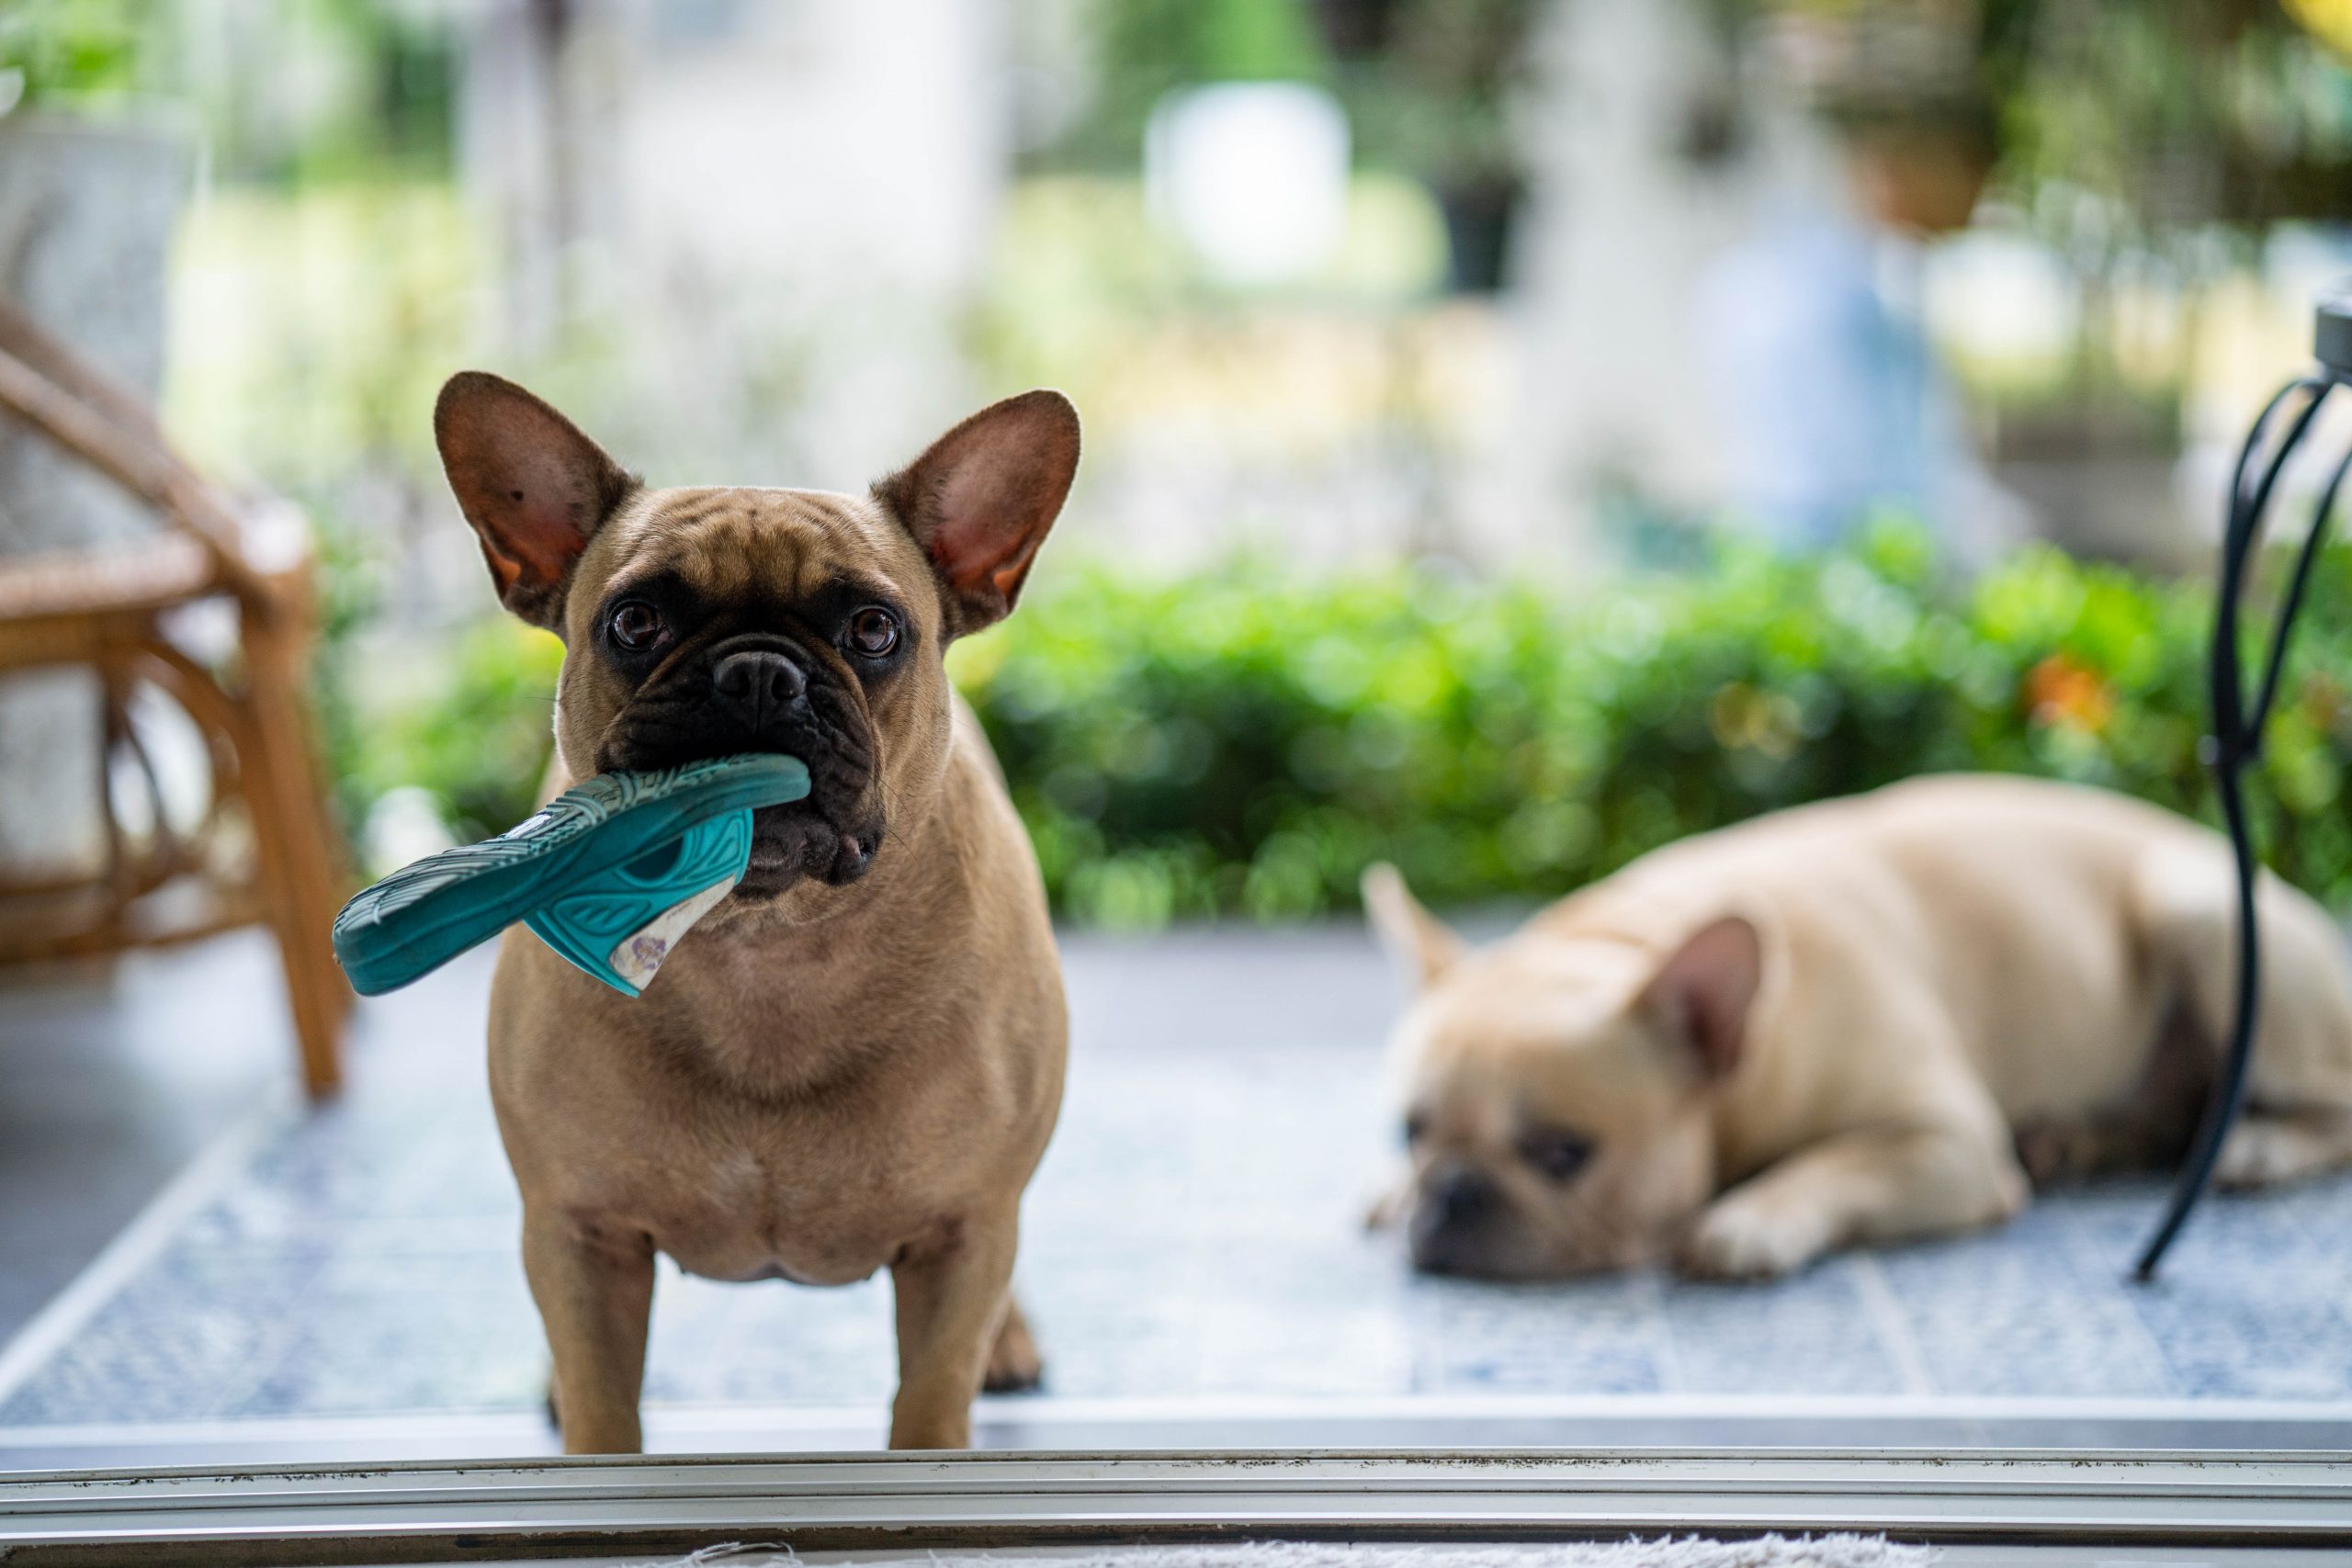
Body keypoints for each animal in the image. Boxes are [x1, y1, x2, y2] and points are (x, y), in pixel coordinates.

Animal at [433, 373, 1077, 1457]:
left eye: (874, 629)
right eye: (635, 621)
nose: (760, 673)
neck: (765, 947)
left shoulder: (965, 1235)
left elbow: (929, 1400)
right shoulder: (579, 1234)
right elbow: (603, 1407)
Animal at [1374, 771, 2352, 1279]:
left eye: (1561, 1153)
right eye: (1408, 1131)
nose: (1451, 1192)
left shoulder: (1946, 1141)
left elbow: (1836, 1161)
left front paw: (1751, 1217)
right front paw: (1389, 1195)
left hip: (2207, 917)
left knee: (2323, 1104)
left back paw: (2259, 1145)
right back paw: (2076, 1140)